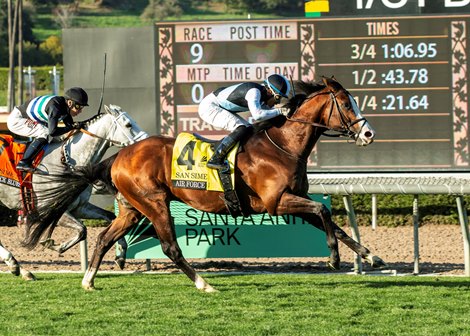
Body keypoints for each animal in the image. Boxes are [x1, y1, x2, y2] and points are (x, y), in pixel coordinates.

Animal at [0, 105, 148, 280]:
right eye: (128, 125)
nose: (146, 142)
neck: (66, 161)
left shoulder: (80, 207)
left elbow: (110, 218)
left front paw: (121, 256)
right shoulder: (52, 209)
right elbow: (82, 230)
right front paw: (54, 245)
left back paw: (21, 269)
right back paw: (15, 264)